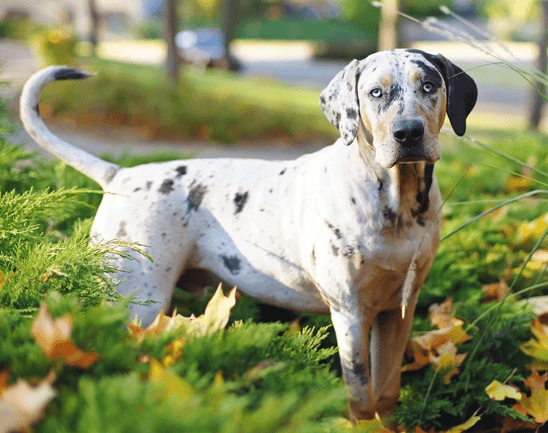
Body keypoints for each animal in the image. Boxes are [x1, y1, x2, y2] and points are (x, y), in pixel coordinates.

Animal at [21, 49, 476, 420]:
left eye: (429, 85)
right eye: (376, 93)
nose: (409, 132)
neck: (399, 205)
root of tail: (120, 175)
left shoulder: (398, 309)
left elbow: (386, 392)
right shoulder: (350, 313)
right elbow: (361, 398)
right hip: (135, 298)